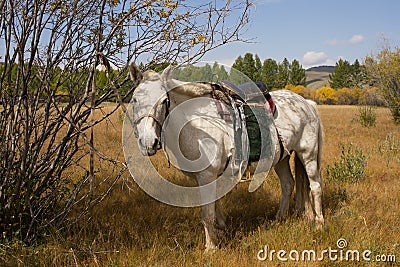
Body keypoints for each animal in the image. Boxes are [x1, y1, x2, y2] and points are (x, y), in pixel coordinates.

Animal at [128, 63, 324, 252]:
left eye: (164, 101)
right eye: (134, 99)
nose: (148, 142)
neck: (197, 125)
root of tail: (306, 102)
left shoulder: (206, 175)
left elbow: (207, 214)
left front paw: (211, 248)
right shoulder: (204, 177)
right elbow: (214, 206)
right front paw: (221, 230)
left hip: (308, 155)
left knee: (315, 186)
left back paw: (319, 223)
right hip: (281, 158)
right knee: (288, 184)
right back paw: (279, 218)